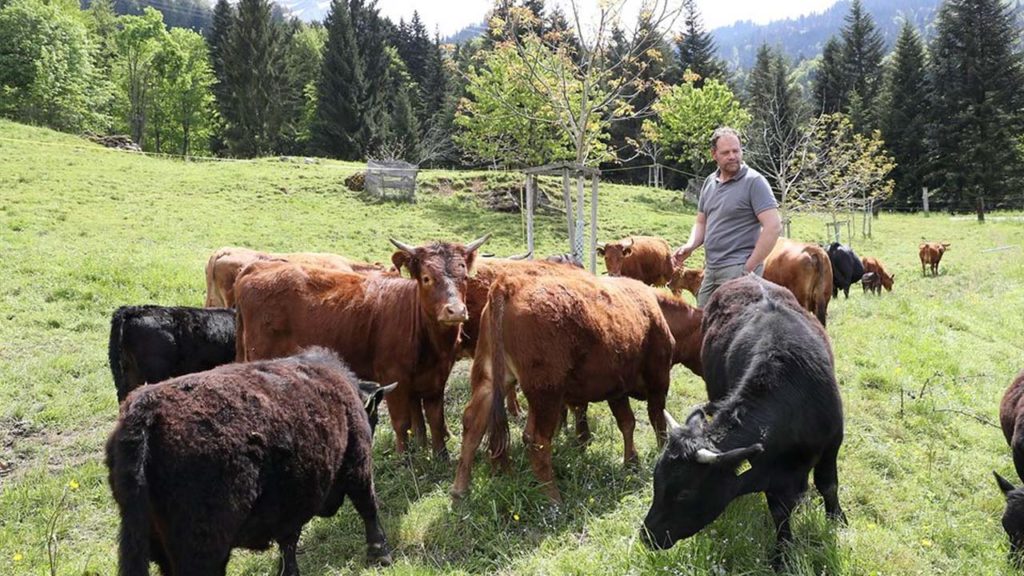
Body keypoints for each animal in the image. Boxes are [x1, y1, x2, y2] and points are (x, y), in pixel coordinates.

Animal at [105, 344, 395, 573]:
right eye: (373, 418)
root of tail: (145, 410)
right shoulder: (357, 464)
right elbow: (368, 505)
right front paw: (381, 553)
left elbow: (288, 545)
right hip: (204, 548)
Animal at [234, 235, 487, 455]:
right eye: (426, 278)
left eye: (464, 277)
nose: (455, 311)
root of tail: (258, 267)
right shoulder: (393, 375)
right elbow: (402, 421)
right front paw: (404, 457)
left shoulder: (436, 378)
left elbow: (434, 420)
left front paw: (440, 456)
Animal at [452, 270, 675, 500]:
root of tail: (508, 284)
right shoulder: (658, 382)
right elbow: (657, 422)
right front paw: (659, 454)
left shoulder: (617, 389)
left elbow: (627, 423)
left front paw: (632, 462)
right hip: (546, 393)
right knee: (537, 440)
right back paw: (553, 498)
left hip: (491, 381)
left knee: (473, 424)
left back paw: (459, 491)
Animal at [638, 272, 847, 565]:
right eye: (657, 481)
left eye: (684, 492)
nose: (647, 536)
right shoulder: (770, 469)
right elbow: (780, 510)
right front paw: (782, 553)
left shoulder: (832, 444)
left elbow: (828, 486)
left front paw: (837, 521)